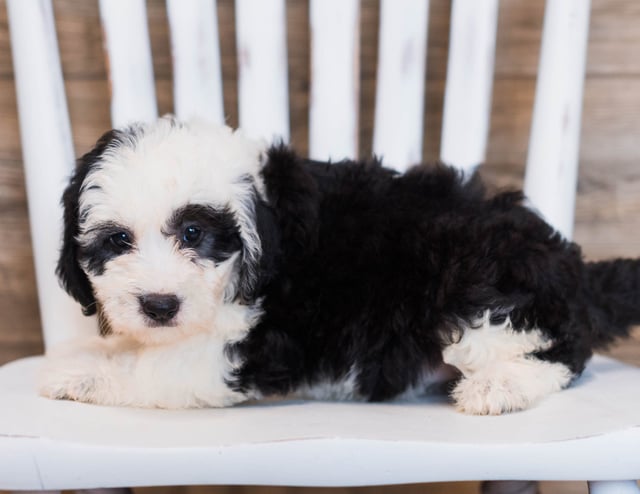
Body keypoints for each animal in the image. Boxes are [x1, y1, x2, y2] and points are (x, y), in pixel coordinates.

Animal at [40, 117, 640, 414]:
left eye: (194, 233)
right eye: (118, 241)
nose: (160, 306)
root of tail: (572, 269)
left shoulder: (245, 349)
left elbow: (154, 370)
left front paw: (81, 376)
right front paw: (88, 352)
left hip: (478, 278)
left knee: (563, 351)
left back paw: (499, 388)